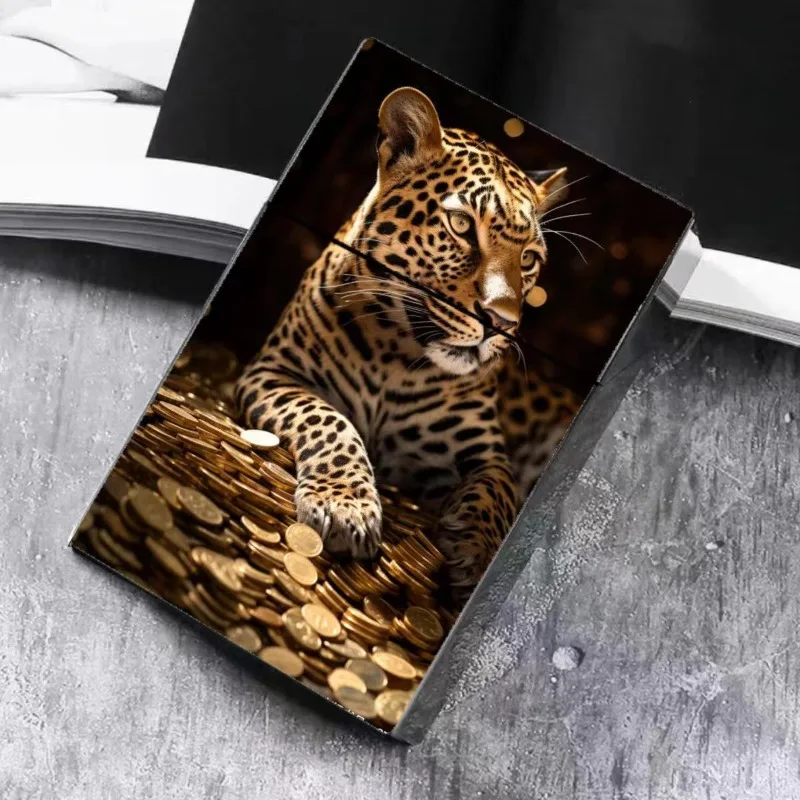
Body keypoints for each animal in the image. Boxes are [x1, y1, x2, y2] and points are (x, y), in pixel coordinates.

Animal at [235, 87, 580, 596]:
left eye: (529, 259)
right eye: (461, 225)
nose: (502, 323)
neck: (396, 351)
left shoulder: (482, 449)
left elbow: (501, 487)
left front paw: (477, 544)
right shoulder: (274, 371)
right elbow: (329, 419)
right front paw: (345, 504)